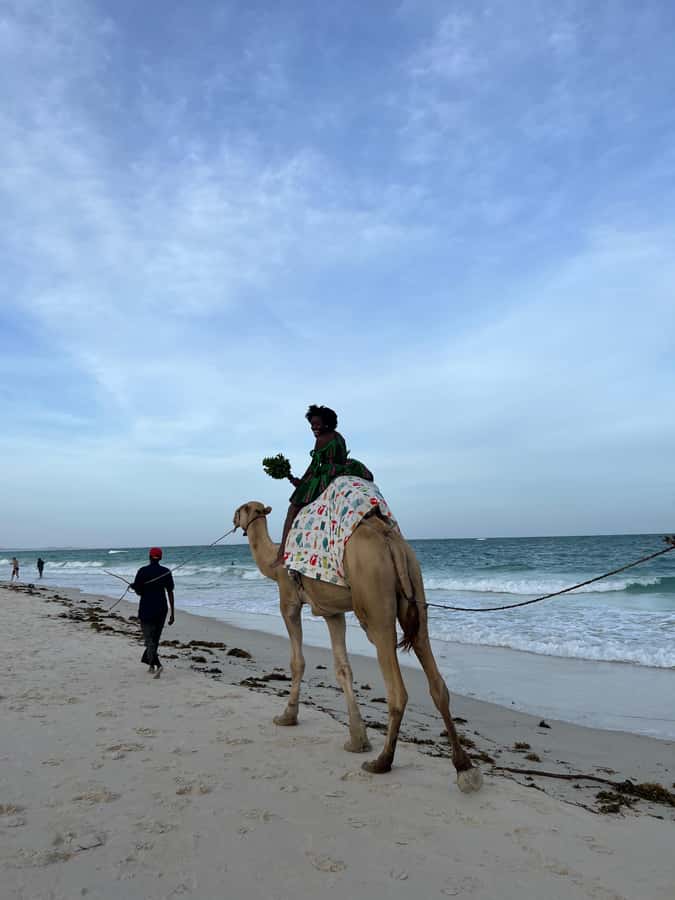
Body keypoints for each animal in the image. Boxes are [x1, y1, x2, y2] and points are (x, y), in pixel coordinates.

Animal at [233, 500, 482, 793]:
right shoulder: (332, 612)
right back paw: (464, 767)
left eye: (240, 510)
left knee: (396, 687)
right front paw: (357, 739)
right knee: (433, 673)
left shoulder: (289, 603)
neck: (274, 561)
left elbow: (298, 662)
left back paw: (382, 762)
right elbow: (343, 668)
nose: (234, 520)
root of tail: (390, 540)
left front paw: (287, 716)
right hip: (415, 586)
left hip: (374, 603)